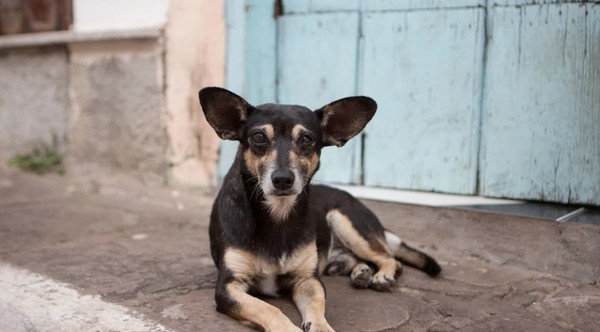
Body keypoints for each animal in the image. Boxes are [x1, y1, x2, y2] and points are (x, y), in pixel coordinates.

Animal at [200, 88, 440, 332]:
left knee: (390, 258)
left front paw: (321, 327)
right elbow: (268, 308)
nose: (283, 179)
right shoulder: (229, 286)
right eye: (258, 137)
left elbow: (316, 306)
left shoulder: (308, 279)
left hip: (345, 221)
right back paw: (360, 272)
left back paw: (381, 276)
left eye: (306, 139)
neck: (278, 215)